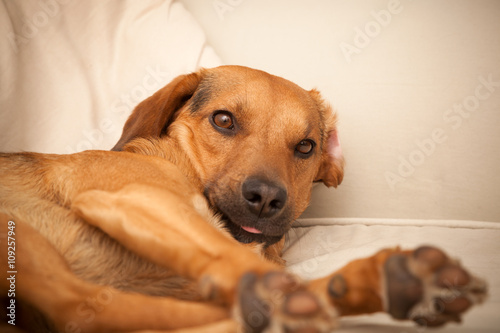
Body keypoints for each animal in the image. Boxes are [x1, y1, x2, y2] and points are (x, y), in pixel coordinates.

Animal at [0, 64, 484, 330]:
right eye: (223, 120)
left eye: (305, 146)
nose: (267, 198)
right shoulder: (138, 199)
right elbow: (231, 256)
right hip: (25, 242)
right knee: (84, 309)